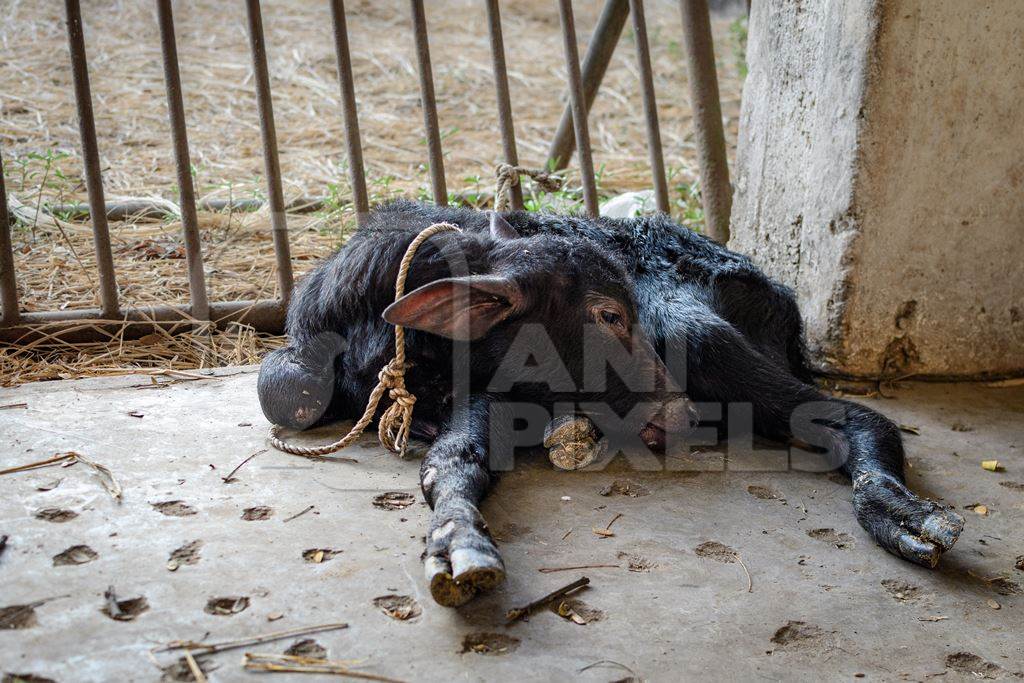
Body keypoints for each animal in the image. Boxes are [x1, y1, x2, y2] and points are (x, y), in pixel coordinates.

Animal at [260, 200, 962, 606]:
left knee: (858, 417)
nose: (680, 416)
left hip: (696, 333)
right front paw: (461, 544)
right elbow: (298, 394)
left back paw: (903, 514)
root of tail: (779, 301)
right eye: (606, 314)